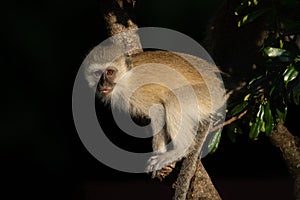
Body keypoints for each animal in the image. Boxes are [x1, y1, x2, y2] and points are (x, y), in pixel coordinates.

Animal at [82, 45, 225, 175]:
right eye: (97, 74)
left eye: (110, 72)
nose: (103, 84)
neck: (125, 77)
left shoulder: (136, 93)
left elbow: (158, 110)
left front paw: (160, 152)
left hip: (206, 95)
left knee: (173, 99)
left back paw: (181, 149)